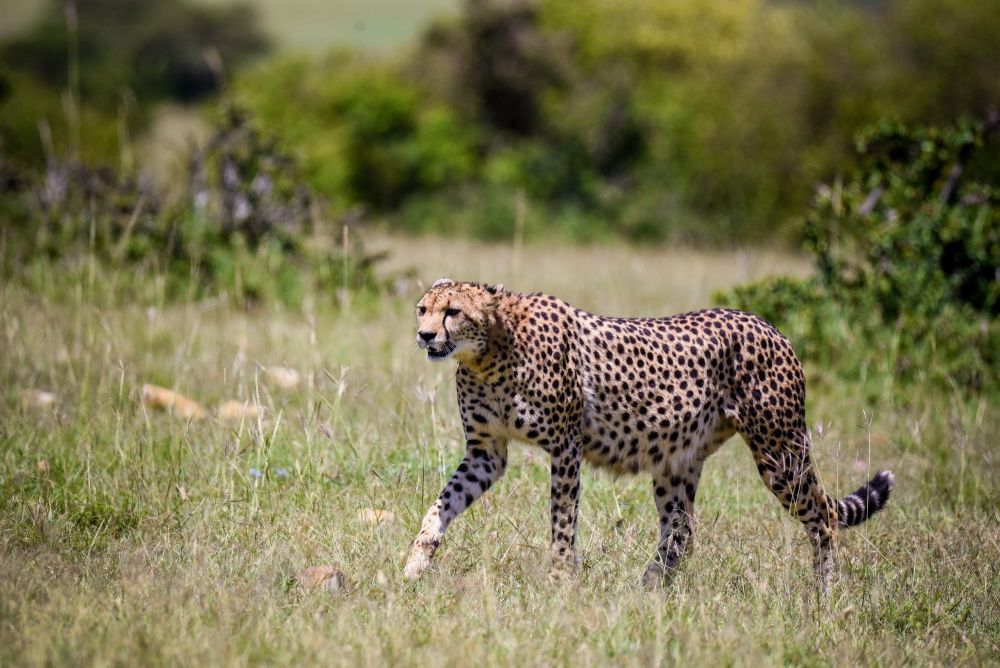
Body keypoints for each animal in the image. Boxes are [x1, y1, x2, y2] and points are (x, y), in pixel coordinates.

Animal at [402, 280, 896, 588]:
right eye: (423, 309)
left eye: (453, 312)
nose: (424, 335)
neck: (488, 352)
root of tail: (771, 326)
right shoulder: (487, 452)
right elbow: (441, 505)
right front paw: (414, 564)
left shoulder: (565, 446)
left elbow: (562, 521)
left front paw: (560, 580)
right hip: (676, 461)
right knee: (682, 532)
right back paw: (645, 591)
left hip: (780, 451)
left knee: (823, 516)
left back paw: (825, 595)